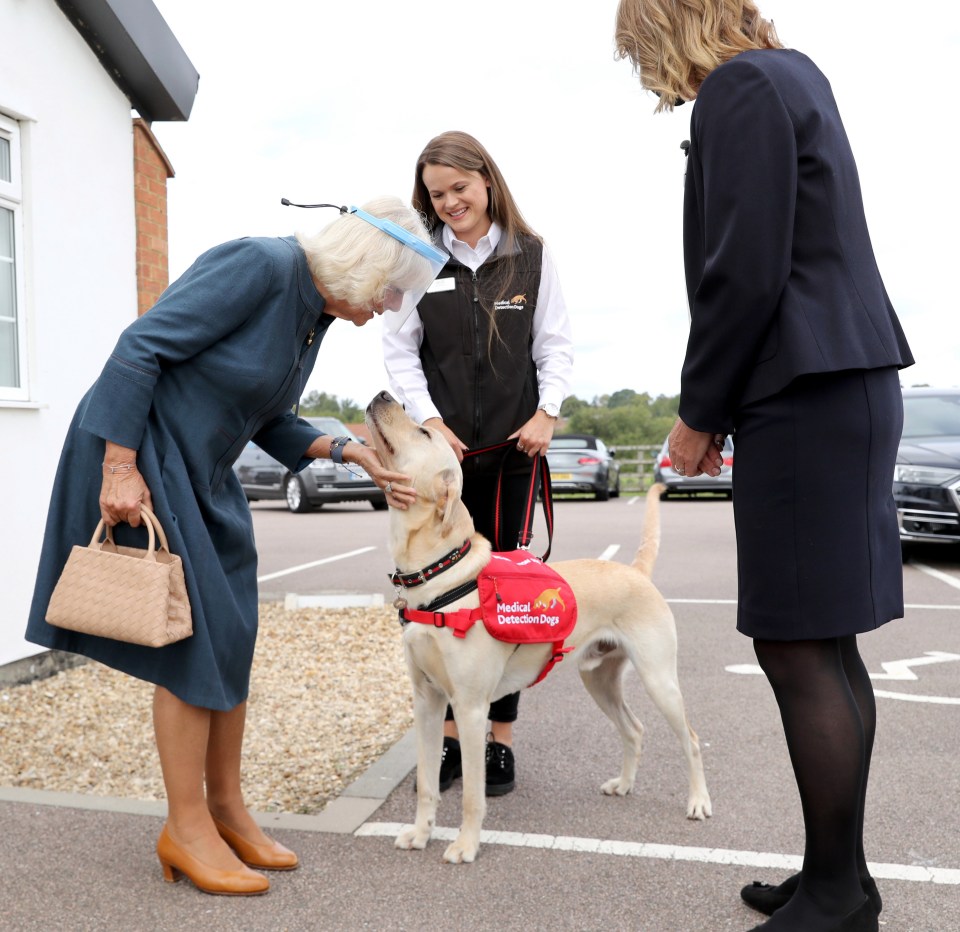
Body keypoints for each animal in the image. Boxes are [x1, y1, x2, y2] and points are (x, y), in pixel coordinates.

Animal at [364, 390, 708, 864]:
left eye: (423, 432)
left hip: (660, 680)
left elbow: (472, 795)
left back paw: (698, 802)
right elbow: (428, 783)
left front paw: (465, 845)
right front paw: (420, 833)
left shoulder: (470, 708)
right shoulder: (428, 702)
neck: (438, 577)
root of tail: (636, 571)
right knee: (634, 729)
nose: (383, 394)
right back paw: (623, 784)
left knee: (690, 738)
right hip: (599, 679)